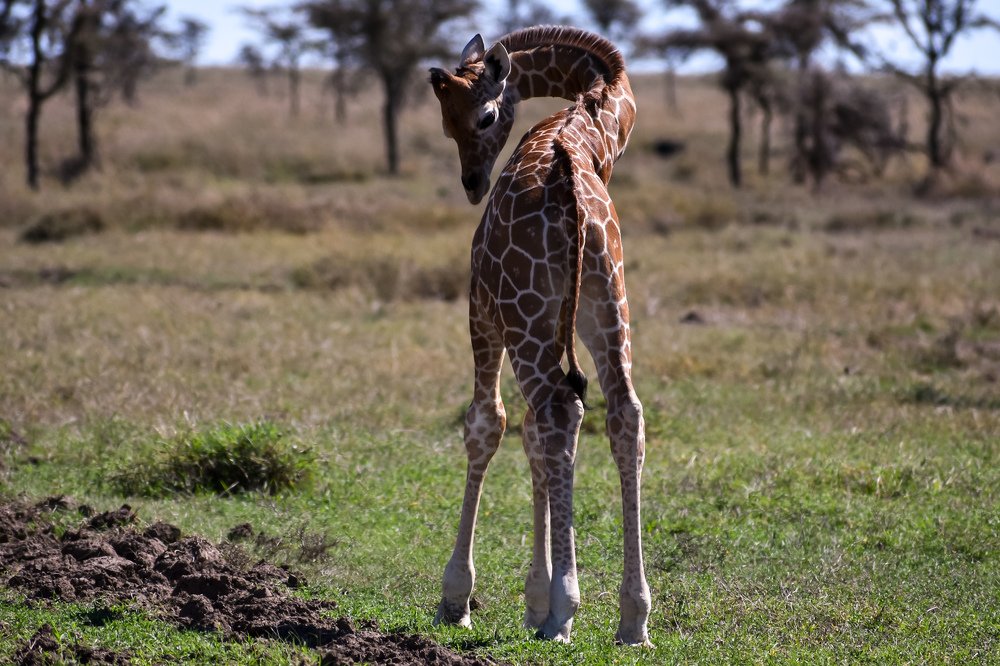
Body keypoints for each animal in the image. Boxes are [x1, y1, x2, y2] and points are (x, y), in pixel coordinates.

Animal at [428, 26, 651, 646]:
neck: (592, 126)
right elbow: (533, 437)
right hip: (609, 303)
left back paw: (565, 609)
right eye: (446, 123)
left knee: (554, 411)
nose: (473, 183)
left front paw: (458, 598)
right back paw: (632, 617)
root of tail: (573, 193)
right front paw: (534, 598)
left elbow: (489, 424)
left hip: (522, 317)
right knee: (620, 412)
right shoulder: (563, 319)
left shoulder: (483, 308)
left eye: (483, 117)